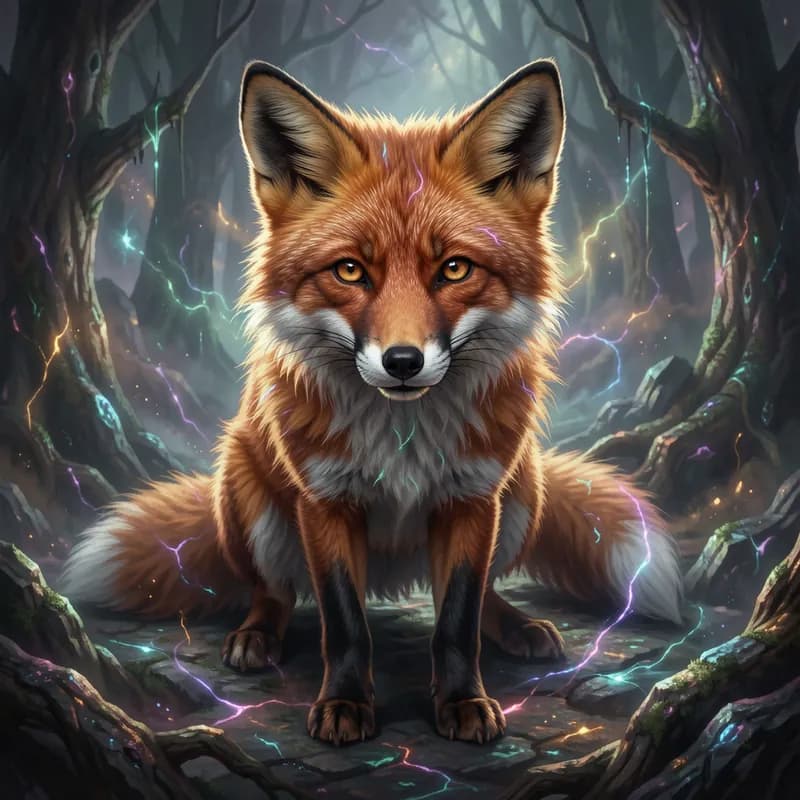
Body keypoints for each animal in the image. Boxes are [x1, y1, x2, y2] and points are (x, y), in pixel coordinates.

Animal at [62, 59, 683, 746]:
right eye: (351, 271)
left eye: (455, 269)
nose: (402, 362)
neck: (403, 440)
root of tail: (395, 575)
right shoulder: (325, 502)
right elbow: (345, 624)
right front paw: (345, 704)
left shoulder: (472, 498)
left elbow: (457, 620)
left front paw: (463, 702)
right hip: (246, 496)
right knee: (275, 591)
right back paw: (255, 636)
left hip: (521, 492)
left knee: (478, 595)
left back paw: (517, 626)